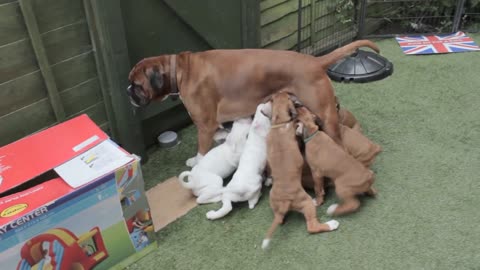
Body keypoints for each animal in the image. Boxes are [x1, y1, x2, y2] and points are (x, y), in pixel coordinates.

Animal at [128, 40, 382, 167]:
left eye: (137, 85)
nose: (128, 92)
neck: (180, 69)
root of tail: (315, 60)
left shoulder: (205, 125)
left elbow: (201, 150)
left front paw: (197, 163)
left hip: (325, 115)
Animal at [262, 92, 338, 249]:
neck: (279, 122)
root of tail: (285, 202)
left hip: (274, 203)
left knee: (280, 219)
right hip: (307, 203)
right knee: (312, 226)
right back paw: (331, 224)